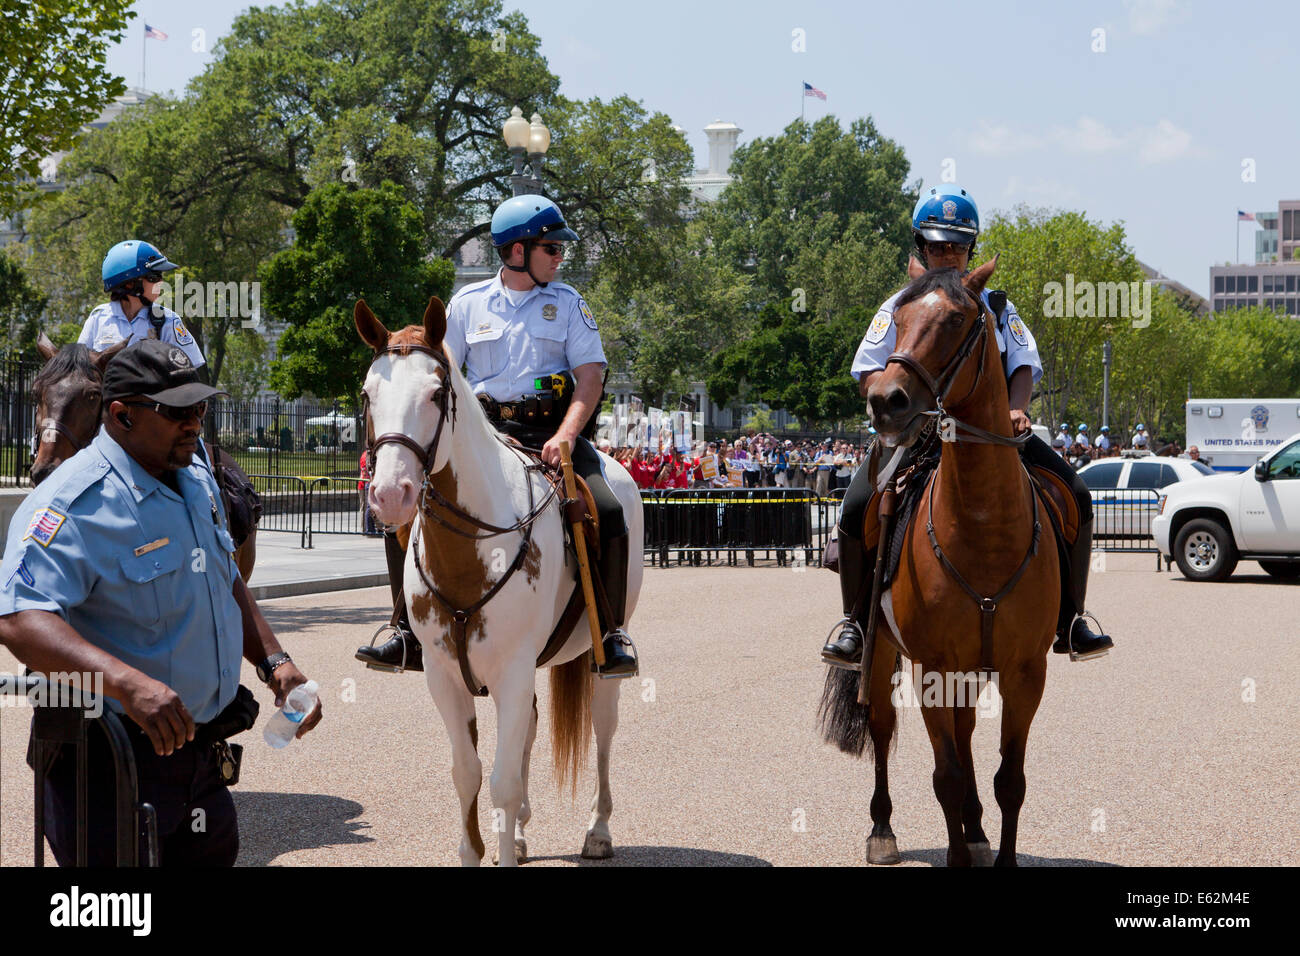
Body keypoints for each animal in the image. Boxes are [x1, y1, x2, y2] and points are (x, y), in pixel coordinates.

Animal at [356, 299, 644, 868]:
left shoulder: (511, 670)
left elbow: (502, 782)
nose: (390, 495)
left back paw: (598, 830)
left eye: (436, 393)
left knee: (602, 729)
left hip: (601, 656)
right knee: (530, 729)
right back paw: (525, 832)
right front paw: (479, 847)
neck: (472, 549)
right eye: (367, 393)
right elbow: (468, 773)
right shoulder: (443, 676)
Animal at [821, 260, 1055, 868]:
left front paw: (995, 850)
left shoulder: (1026, 672)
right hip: (883, 654)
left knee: (968, 733)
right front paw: (953, 852)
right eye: (898, 318)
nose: (887, 400)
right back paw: (883, 830)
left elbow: (1009, 780)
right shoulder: (932, 666)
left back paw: (974, 828)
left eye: (954, 320)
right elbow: (944, 775)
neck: (983, 528)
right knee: (882, 729)